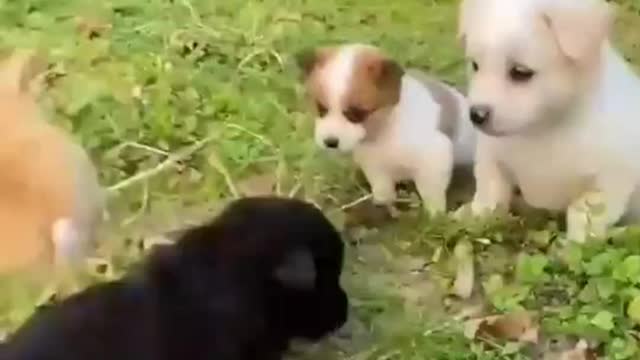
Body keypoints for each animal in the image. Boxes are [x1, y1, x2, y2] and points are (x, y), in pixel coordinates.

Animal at [460, 0, 640, 242]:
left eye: (520, 72)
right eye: (475, 66)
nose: (476, 115)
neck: (545, 128)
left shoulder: (609, 182)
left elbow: (582, 215)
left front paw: (574, 245)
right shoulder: (491, 157)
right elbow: (489, 194)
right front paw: (475, 220)